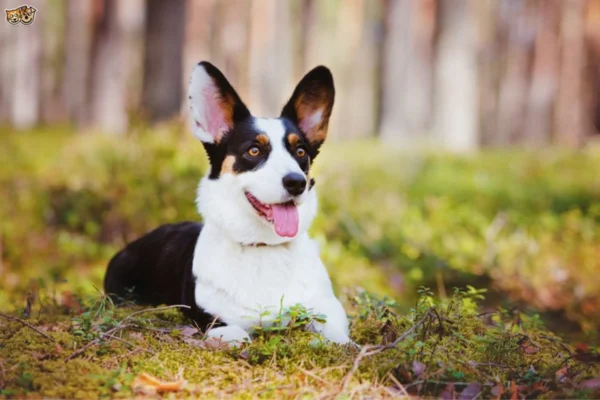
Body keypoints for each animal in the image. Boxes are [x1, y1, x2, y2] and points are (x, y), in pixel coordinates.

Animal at [104, 61, 352, 346]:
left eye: (300, 151)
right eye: (254, 150)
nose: (296, 182)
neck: (263, 246)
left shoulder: (328, 307)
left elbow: (333, 330)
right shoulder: (213, 318)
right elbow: (235, 331)